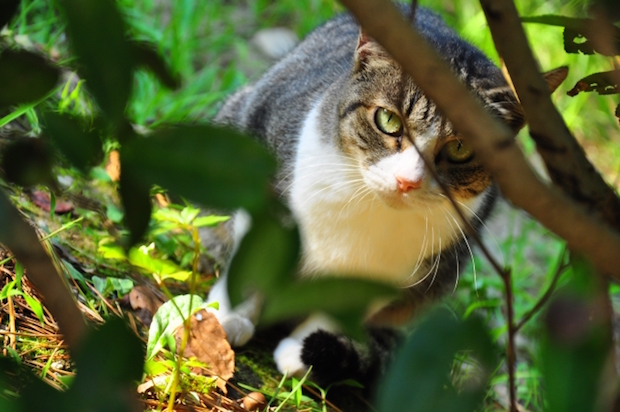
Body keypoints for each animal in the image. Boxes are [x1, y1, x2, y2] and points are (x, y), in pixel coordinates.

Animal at [205, 4, 560, 388]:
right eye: (388, 120)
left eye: (460, 148)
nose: (407, 180)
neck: (369, 211)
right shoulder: (262, 150)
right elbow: (255, 256)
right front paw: (227, 318)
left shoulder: (413, 271)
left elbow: (346, 305)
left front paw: (302, 351)